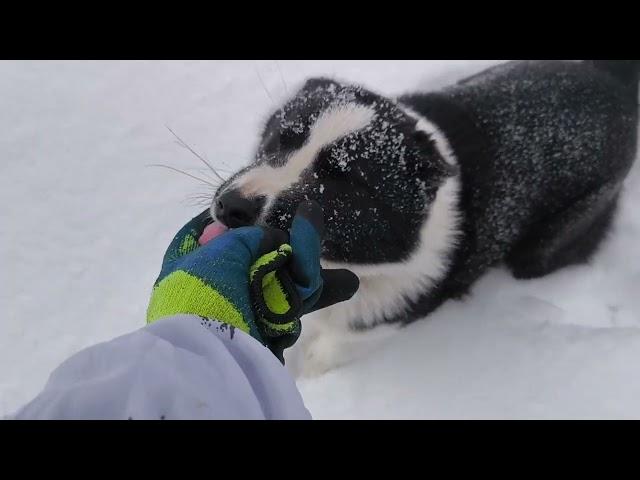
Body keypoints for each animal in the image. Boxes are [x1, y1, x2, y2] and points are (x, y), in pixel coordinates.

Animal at [211, 61, 640, 376]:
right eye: (277, 138)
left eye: (341, 179)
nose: (232, 207)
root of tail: (616, 81)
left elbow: (325, 356)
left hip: (548, 243)